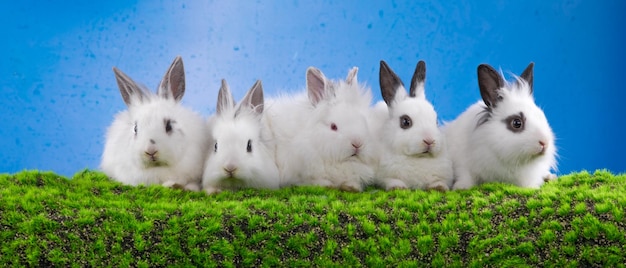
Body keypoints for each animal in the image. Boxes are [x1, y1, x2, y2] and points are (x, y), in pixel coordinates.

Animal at [370, 60, 454, 191]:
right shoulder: (384, 177)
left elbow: (439, 181)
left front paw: (439, 187)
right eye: (405, 122)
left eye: (436, 121)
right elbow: (391, 181)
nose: (429, 141)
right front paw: (398, 187)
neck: (418, 158)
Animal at [444, 62, 556, 191]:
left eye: (542, 116)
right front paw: (461, 187)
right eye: (517, 123)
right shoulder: (462, 163)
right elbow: (466, 175)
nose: (544, 143)